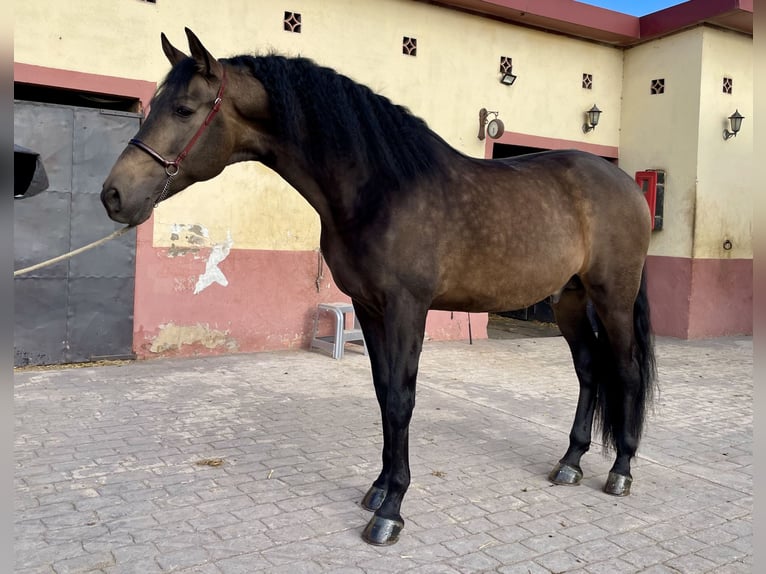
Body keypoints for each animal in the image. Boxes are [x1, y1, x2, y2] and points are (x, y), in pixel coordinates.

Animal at [99, 28, 656, 548]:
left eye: (184, 108)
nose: (113, 195)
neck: (380, 189)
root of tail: (626, 184)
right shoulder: (368, 308)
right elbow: (383, 392)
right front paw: (380, 488)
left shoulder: (408, 308)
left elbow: (402, 399)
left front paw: (391, 512)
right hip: (570, 300)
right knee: (589, 371)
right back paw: (571, 462)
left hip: (612, 297)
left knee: (626, 371)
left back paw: (620, 471)